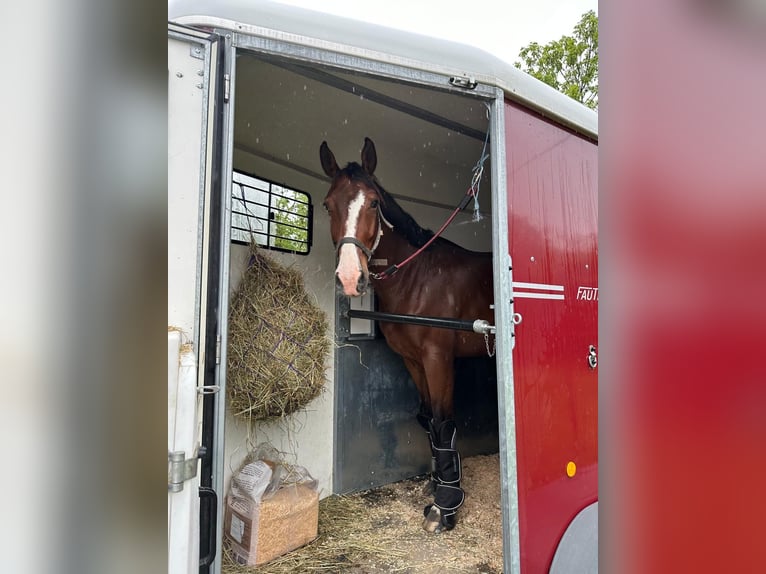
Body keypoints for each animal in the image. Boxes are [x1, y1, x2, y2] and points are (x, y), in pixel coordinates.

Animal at [320, 137, 496, 532]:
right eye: (327, 205)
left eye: (373, 202)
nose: (350, 278)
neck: (419, 278)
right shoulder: (412, 360)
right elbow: (427, 419)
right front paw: (436, 486)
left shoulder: (437, 358)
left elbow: (443, 423)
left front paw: (445, 508)